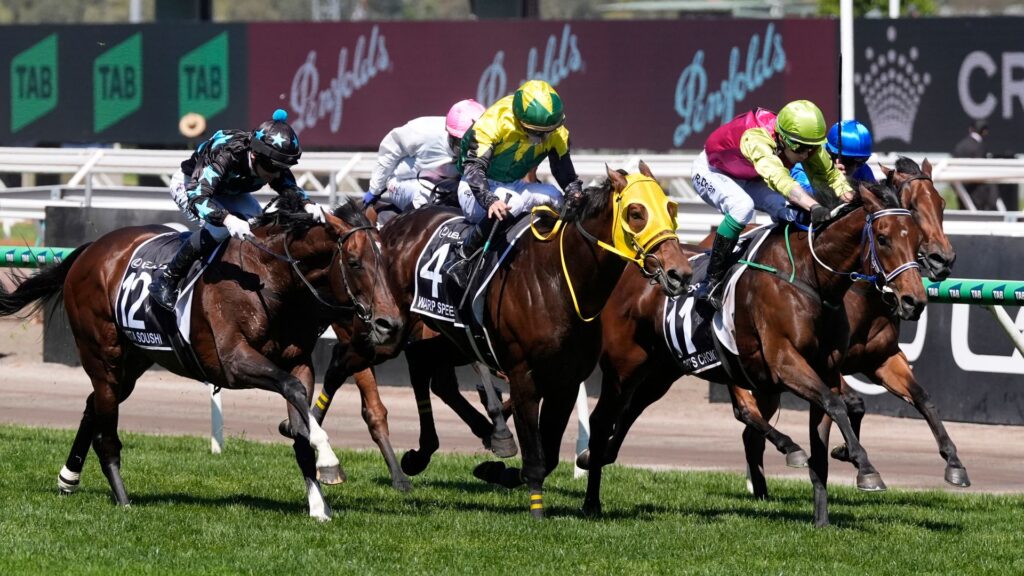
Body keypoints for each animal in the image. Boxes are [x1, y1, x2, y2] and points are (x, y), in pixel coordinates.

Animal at [0, 198, 399, 520]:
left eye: (387, 261)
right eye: (354, 262)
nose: (389, 323)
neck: (269, 278)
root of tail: (89, 251)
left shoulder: (299, 362)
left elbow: (300, 419)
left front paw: (318, 505)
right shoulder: (234, 362)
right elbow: (294, 396)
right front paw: (329, 459)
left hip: (133, 360)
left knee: (92, 405)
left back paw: (68, 478)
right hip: (103, 354)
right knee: (107, 430)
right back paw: (123, 499)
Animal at [376, 162, 688, 516]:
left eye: (671, 208)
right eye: (636, 212)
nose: (680, 273)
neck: (558, 281)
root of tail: (398, 222)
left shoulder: (566, 381)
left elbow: (548, 454)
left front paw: (498, 471)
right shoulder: (523, 374)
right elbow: (535, 449)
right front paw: (536, 508)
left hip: (456, 338)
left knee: (424, 364)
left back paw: (449, 446)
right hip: (392, 322)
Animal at [585, 179, 929, 524]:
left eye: (917, 239)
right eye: (883, 238)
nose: (914, 300)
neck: (810, 277)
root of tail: (636, 269)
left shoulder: (826, 371)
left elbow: (827, 431)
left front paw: (822, 519)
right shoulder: (785, 362)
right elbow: (836, 406)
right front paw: (865, 467)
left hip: (662, 371)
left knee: (632, 409)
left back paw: (595, 457)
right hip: (625, 364)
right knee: (603, 419)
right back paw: (591, 501)